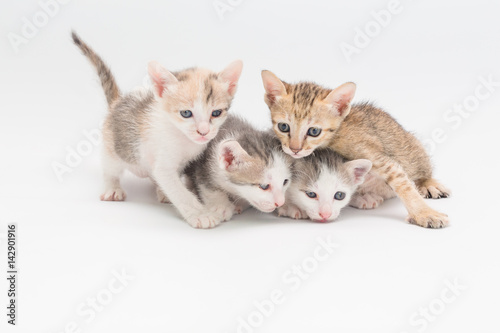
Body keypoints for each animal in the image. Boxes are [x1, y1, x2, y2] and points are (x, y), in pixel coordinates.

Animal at [71, 31, 243, 228]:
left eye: (216, 113)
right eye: (186, 113)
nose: (203, 131)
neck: (183, 138)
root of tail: (117, 102)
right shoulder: (164, 165)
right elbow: (180, 192)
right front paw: (201, 214)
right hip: (113, 147)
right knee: (110, 169)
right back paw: (112, 188)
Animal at [262, 70, 450, 228]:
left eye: (314, 131)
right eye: (284, 127)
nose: (294, 149)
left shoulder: (376, 156)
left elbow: (403, 185)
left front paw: (424, 213)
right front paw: (288, 205)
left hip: (412, 149)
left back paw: (428, 183)